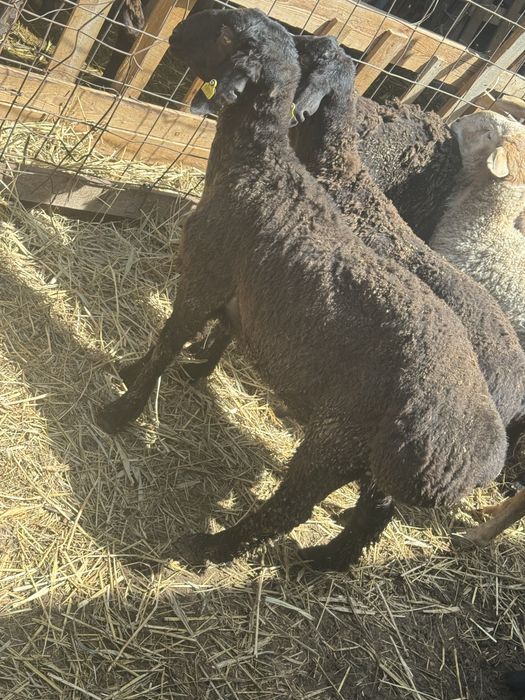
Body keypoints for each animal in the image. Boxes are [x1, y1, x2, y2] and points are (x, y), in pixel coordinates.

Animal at [97, 7, 507, 571]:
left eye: (227, 29)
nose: (175, 32)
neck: (261, 165)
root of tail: (470, 457)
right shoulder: (239, 294)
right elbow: (197, 339)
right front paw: (145, 371)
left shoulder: (205, 276)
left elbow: (168, 342)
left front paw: (120, 412)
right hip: (370, 458)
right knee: (373, 514)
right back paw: (325, 561)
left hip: (338, 438)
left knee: (292, 507)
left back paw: (212, 547)